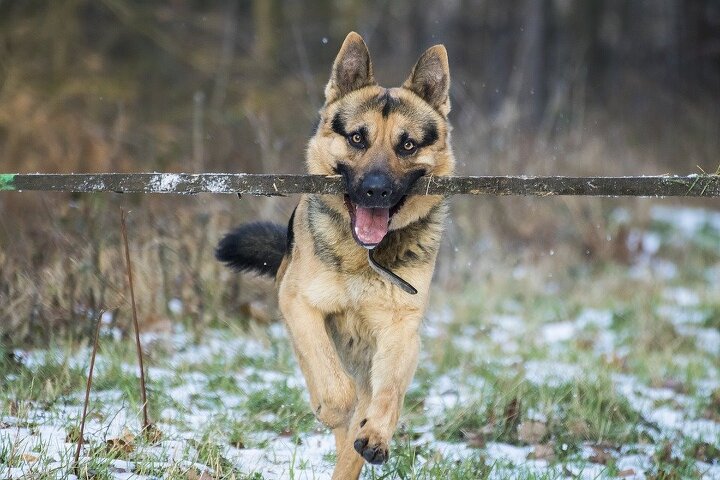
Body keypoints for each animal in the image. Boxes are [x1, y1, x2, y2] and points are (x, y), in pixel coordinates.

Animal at [215, 31, 456, 478]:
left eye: (407, 145)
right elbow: (331, 381)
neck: (364, 256)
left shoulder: (401, 331)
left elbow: (388, 394)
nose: (376, 190)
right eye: (358, 138)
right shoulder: (300, 305)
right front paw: (331, 408)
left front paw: (375, 434)